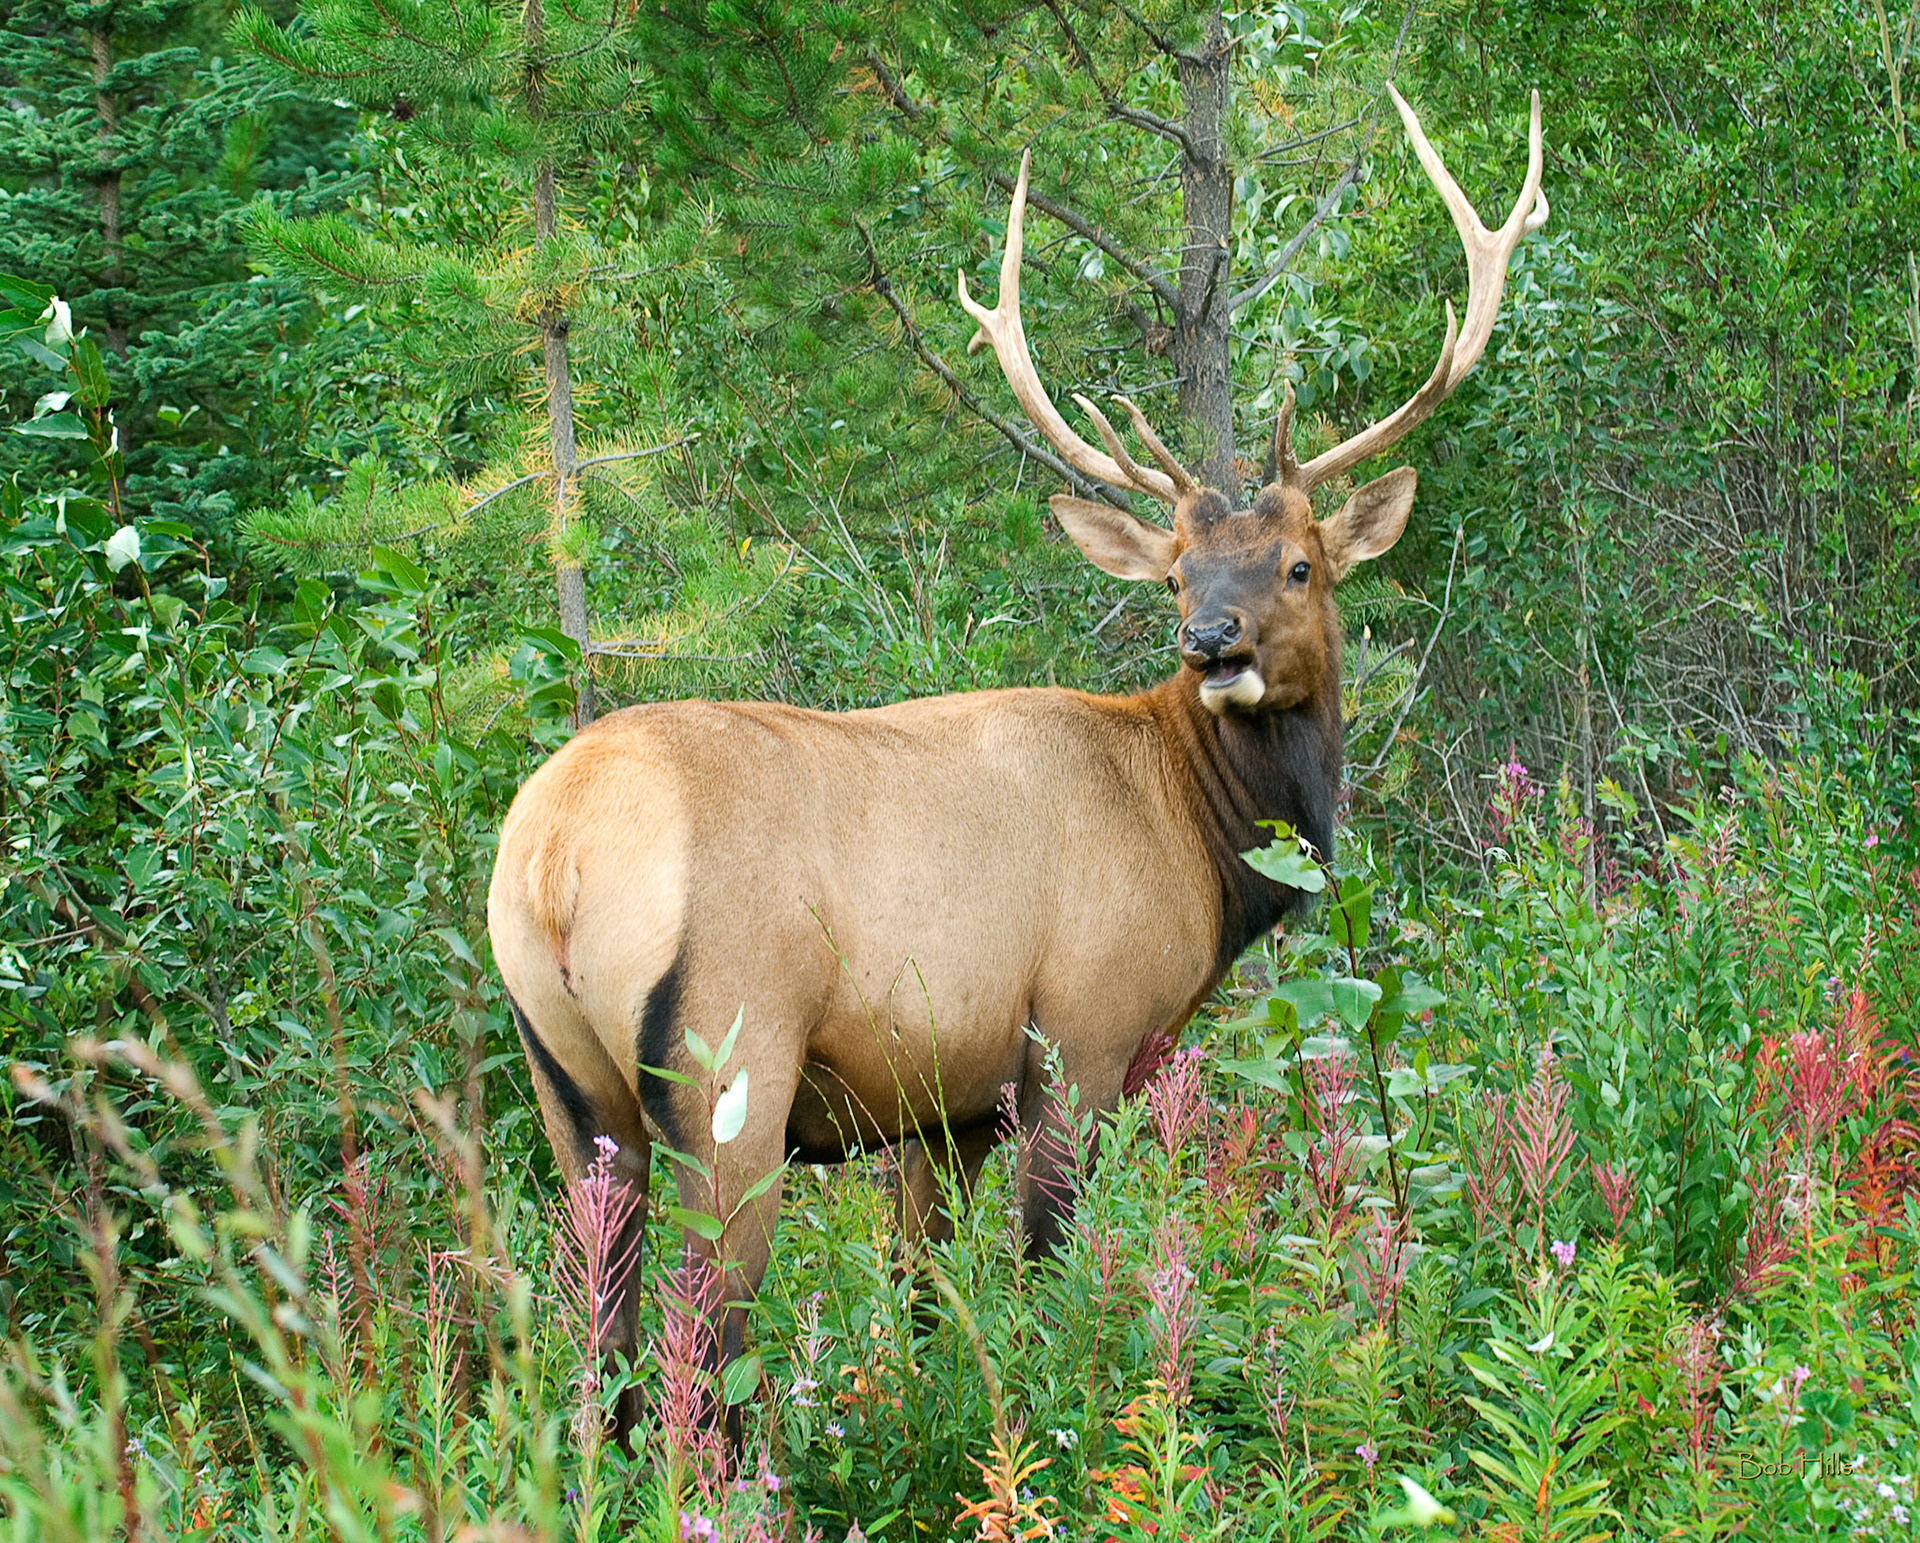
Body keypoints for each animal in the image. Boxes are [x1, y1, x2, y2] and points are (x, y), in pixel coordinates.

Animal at [486, 84, 1547, 1426]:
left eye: (1297, 565)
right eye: (1179, 575)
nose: (1211, 644)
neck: (1195, 839)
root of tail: (552, 859)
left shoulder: (945, 1099)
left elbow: (926, 1297)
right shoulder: (1081, 1032)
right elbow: (1049, 1275)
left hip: (568, 1089)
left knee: (601, 1356)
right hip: (729, 1068)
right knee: (701, 1359)